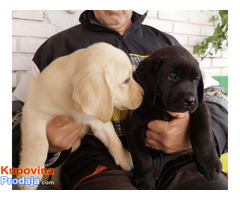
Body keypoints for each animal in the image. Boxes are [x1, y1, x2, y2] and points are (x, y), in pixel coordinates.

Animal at [19, 42, 142, 189]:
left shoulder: (96, 119)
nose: (143, 93)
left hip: (76, 144)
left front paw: (124, 158)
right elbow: (38, 144)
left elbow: (113, 139)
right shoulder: (33, 112)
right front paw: (29, 176)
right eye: (126, 80)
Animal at [126, 46, 222, 190]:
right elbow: (141, 155)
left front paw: (210, 164)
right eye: (172, 77)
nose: (190, 100)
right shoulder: (134, 126)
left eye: (195, 79)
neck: (162, 109)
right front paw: (144, 180)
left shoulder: (200, 108)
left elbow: (203, 135)